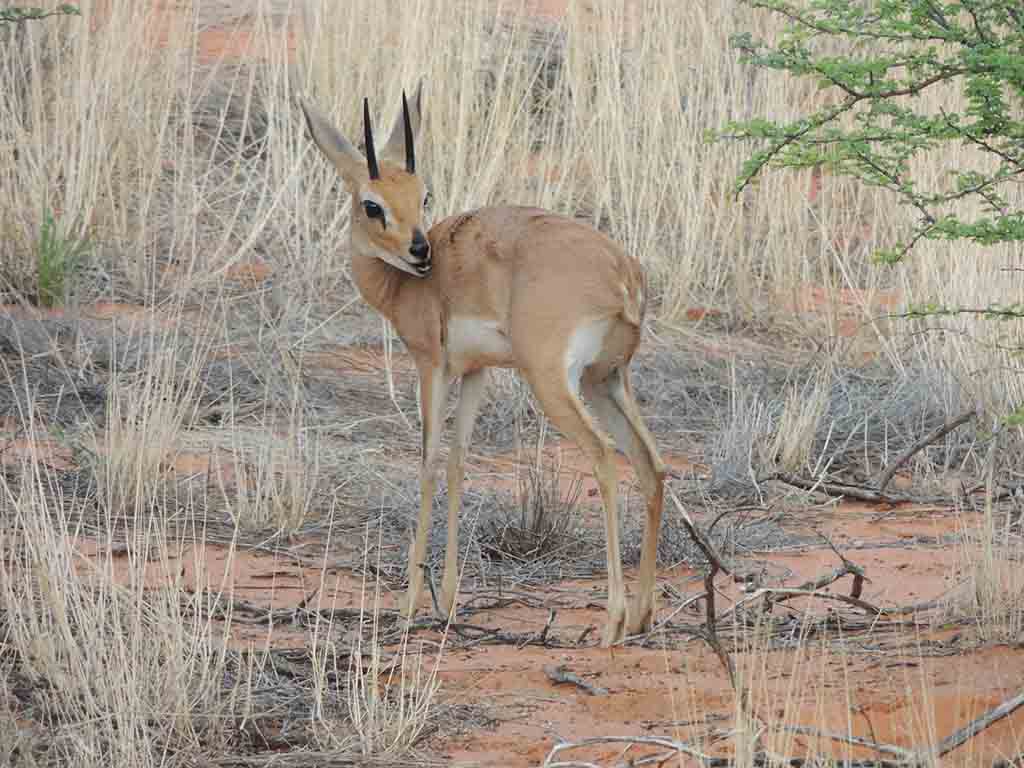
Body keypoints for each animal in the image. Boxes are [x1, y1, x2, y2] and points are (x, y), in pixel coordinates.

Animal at [299, 85, 663, 651]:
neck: (410, 287)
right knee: (651, 465)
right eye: (373, 204)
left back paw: (613, 622)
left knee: (604, 457)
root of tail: (622, 273)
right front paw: (447, 600)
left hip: (555, 382)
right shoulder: (476, 373)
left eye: (423, 196)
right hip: (605, 381)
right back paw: (644, 615)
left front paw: (409, 606)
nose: (420, 250)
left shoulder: (431, 364)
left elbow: (428, 462)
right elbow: (458, 461)